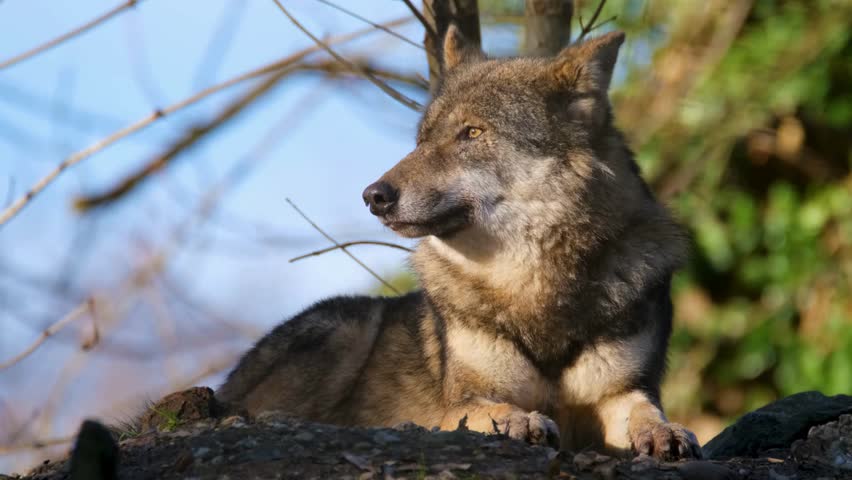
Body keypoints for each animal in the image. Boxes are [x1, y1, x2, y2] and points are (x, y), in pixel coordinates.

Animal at [216, 26, 701, 459]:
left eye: (472, 133)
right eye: (421, 140)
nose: (374, 196)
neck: (535, 285)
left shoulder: (619, 392)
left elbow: (645, 410)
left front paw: (665, 431)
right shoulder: (463, 402)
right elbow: (494, 410)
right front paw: (521, 421)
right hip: (348, 329)